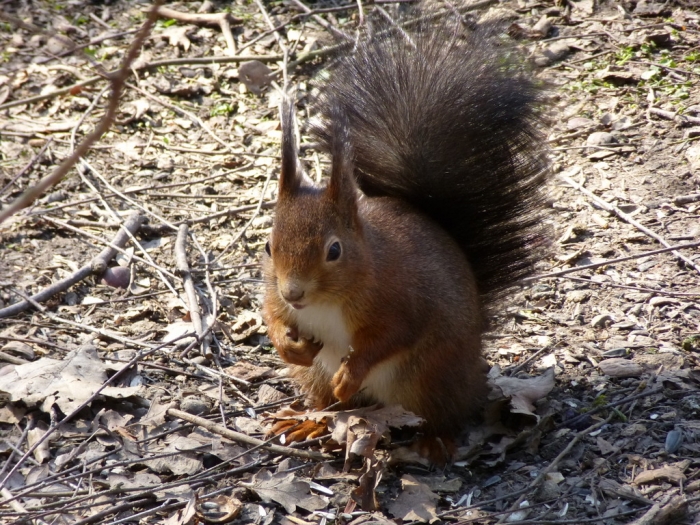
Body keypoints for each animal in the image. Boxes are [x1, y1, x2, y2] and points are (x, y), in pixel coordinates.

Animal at [262, 14, 549, 450]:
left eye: (334, 251)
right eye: (267, 246)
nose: (294, 293)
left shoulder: (399, 299)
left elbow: (391, 337)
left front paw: (351, 373)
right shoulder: (275, 294)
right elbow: (270, 314)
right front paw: (286, 344)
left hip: (430, 374)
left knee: (444, 413)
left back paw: (434, 442)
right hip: (318, 377)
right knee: (329, 404)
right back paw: (309, 422)